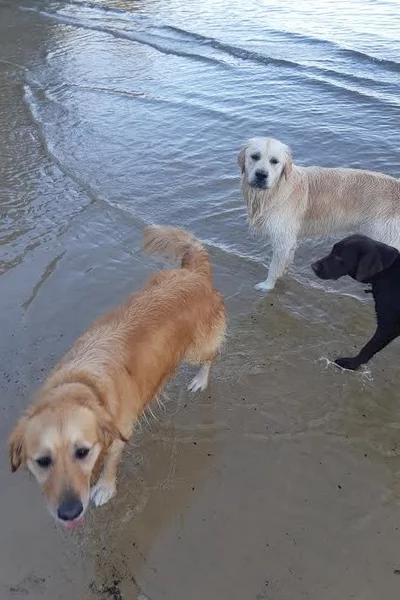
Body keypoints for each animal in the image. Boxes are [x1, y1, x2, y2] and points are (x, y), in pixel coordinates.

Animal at [7, 226, 225, 528]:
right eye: (42, 461)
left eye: (82, 451)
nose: (69, 512)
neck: (80, 384)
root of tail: (192, 272)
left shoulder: (120, 430)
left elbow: (111, 463)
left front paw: (104, 488)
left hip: (197, 348)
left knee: (210, 357)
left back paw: (200, 380)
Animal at [238, 138, 400, 292]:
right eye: (255, 156)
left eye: (274, 161)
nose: (261, 175)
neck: (276, 190)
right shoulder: (289, 240)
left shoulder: (282, 239)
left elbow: (273, 267)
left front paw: (267, 286)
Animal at [312, 234, 400, 370]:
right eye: (332, 250)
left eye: (339, 256)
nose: (313, 266)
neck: (387, 271)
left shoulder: (389, 325)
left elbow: (369, 347)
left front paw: (352, 363)